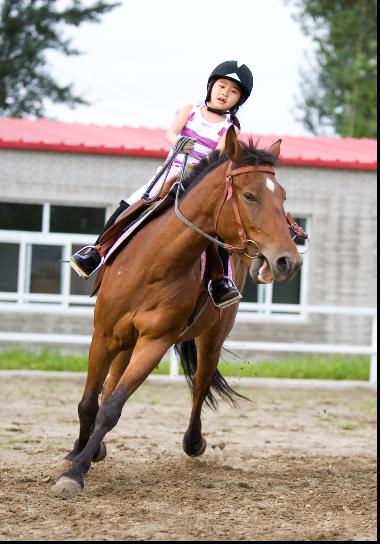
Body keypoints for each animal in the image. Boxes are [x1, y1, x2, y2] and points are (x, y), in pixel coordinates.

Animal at [52, 126, 302, 498]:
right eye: (250, 195)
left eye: (282, 196)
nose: (288, 261)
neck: (155, 262)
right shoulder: (104, 335)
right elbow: (90, 402)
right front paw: (76, 455)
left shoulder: (155, 343)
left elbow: (111, 409)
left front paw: (77, 472)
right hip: (124, 341)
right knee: (111, 384)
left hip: (211, 339)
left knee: (200, 385)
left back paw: (193, 442)